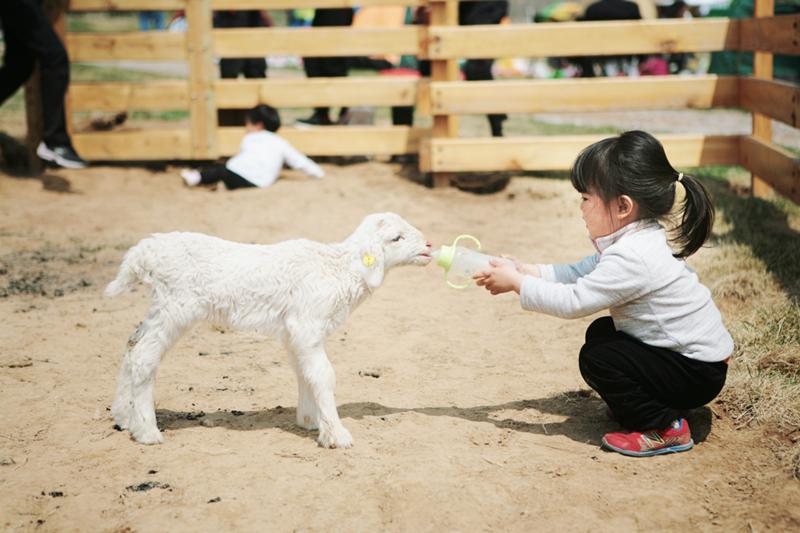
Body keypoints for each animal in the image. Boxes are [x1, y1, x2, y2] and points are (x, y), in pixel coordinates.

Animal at [105, 213, 432, 448]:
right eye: (396, 238)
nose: (429, 246)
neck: (339, 269)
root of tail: (144, 252)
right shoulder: (306, 324)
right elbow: (324, 375)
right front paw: (336, 435)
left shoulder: (296, 332)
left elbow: (305, 372)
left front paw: (310, 420)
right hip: (176, 306)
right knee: (145, 356)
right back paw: (146, 431)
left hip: (160, 308)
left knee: (132, 345)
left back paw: (123, 416)